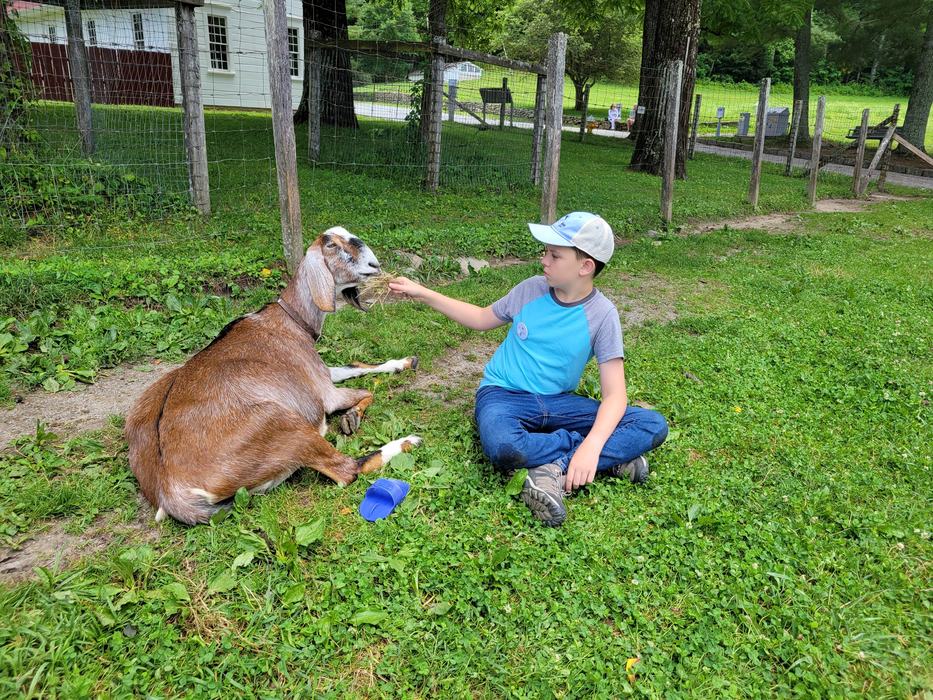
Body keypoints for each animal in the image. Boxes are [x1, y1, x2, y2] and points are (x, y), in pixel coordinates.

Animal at [125, 227, 421, 525]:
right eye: (333, 245)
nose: (375, 265)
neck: (292, 321)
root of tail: (173, 495)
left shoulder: (320, 373)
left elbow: (355, 366)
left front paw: (404, 363)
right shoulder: (326, 394)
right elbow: (367, 392)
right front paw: (351, 417)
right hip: (283, 422)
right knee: (347, 470)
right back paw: (408, 441)